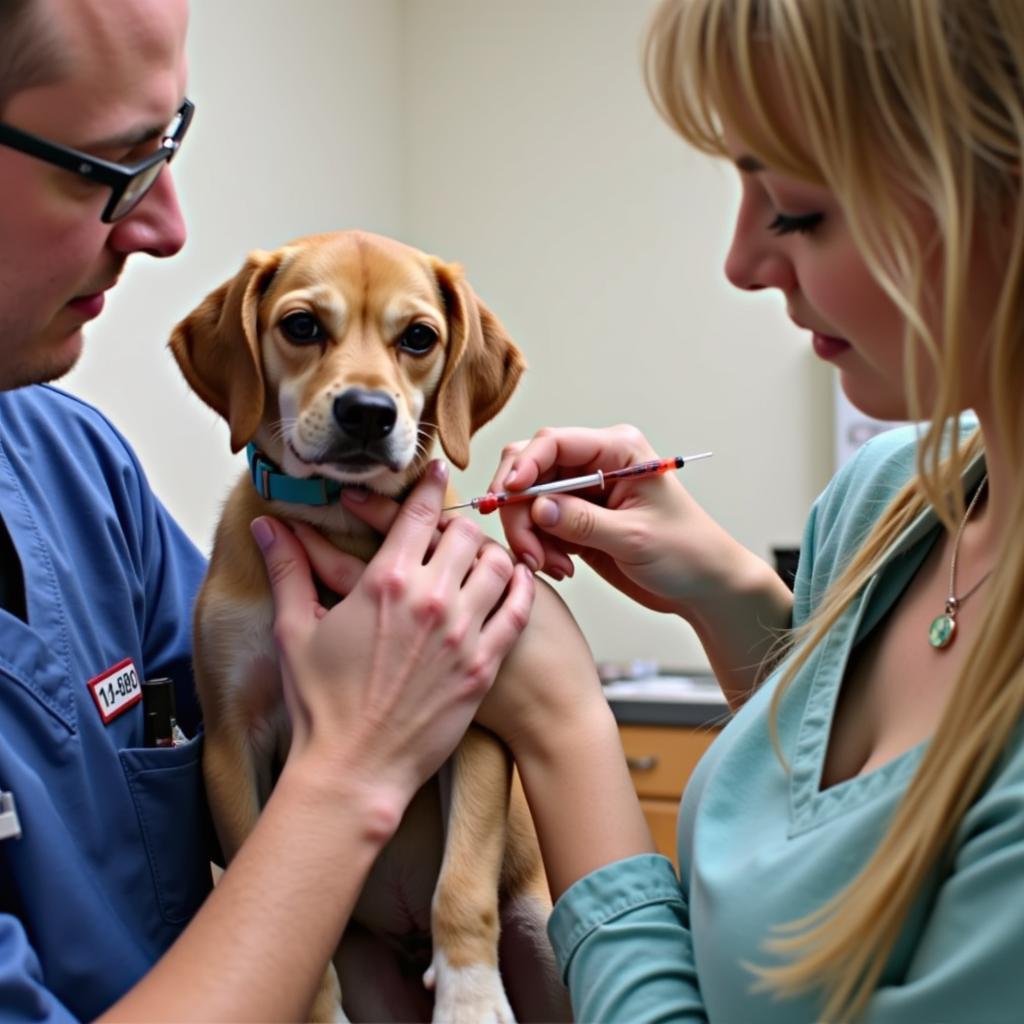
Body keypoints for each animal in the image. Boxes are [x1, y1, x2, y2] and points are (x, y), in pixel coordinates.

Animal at [167, 232, 569, 1024]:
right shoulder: (232, 744)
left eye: (418, 337)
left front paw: (471, 999)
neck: (342, 527)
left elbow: (461, 888)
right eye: (300, 326)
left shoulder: (475, 724)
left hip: (540, 929)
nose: (366, 412)